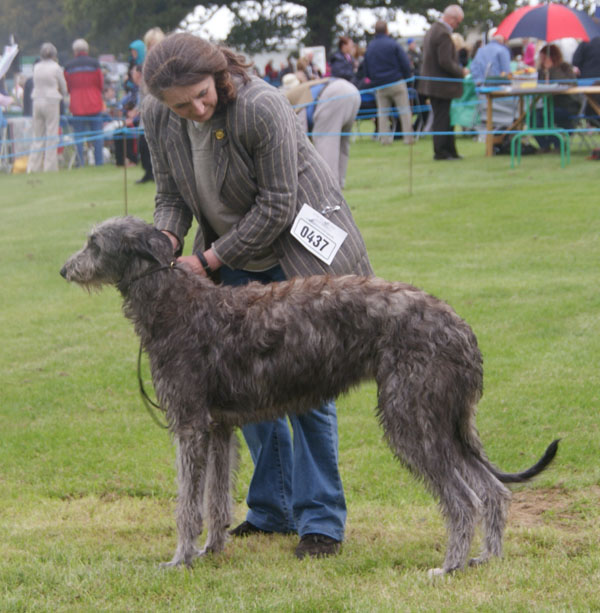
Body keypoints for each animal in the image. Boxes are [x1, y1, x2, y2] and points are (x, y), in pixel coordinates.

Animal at [61, 218, 556, 576]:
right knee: (493, 490)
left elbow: (187, 503)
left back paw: (450, 566)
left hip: (411, 418)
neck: (176, 304)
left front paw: (179, 559)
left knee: (463, 498)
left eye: (94, 243)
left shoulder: (189, 426)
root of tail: (461, 328)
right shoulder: (218, 428)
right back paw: (486, 559)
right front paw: (210, 551)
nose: (64, 269)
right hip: (444, 419)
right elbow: (216, 499)